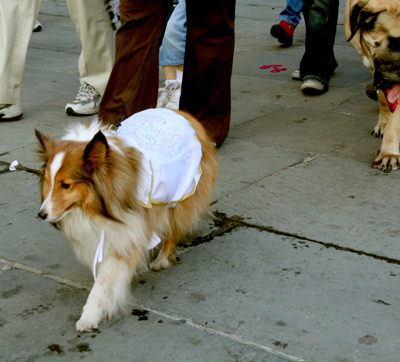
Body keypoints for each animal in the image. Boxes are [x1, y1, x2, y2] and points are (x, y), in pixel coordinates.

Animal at [35, 107, 219, 330]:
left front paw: (89, 316)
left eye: (66, 185)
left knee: (172, 231)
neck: (98, 206)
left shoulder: (126, 236)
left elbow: (103, 281)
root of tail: (181, 112)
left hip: (179, 195)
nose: (41, 214)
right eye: (48, 181)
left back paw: (161, 260)